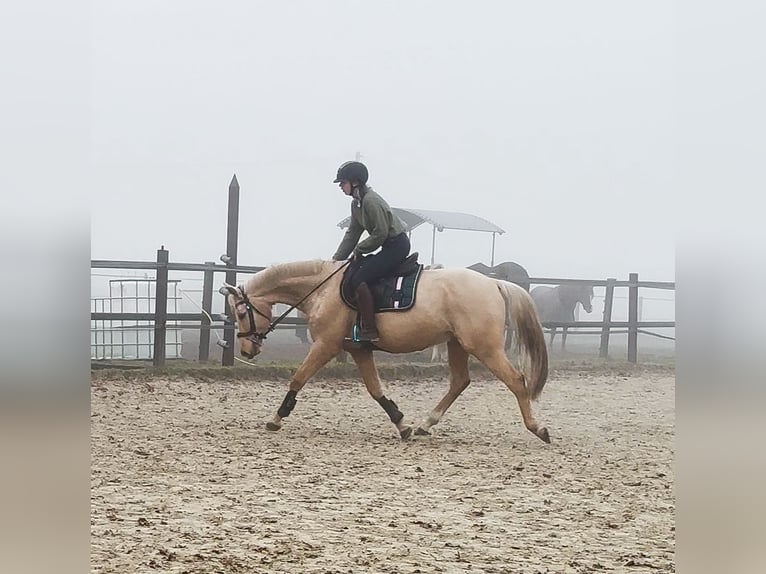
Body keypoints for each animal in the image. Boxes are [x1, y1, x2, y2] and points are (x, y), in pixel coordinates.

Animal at [221, 259, 551, 443]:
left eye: (241, 312)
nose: (247, 350)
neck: (322, 289)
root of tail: (494, 283)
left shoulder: (326, 345)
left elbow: (298, 378)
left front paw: (277, 418)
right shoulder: (358, 351)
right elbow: (375, 389)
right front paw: (402, 424)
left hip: (483, 346)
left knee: (516, 381)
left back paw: (537, 428)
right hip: (457, 344)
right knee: (459, 382)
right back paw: (426, 425)